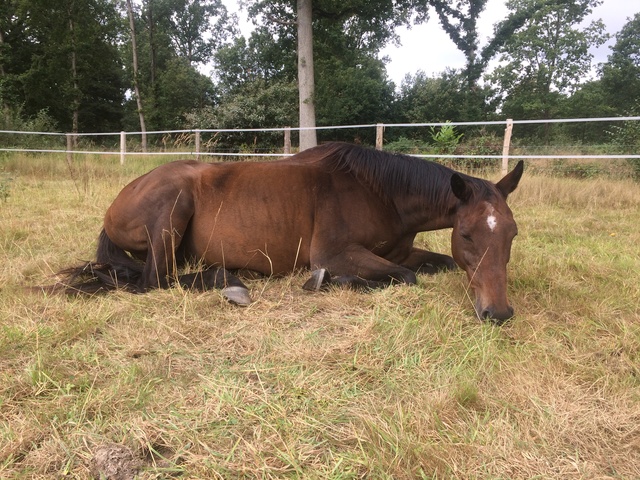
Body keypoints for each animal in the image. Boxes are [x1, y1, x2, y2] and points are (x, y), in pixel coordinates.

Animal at [56, 142, 524, 322]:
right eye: (467, 234)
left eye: (512, 235)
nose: (497, 312)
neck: (378, 192)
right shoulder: (334, 255)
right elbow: (404, 278)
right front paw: (328, 283)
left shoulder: (401, 252)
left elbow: (431, 265)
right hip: (173, 209)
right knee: (155, 281)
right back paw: (230, 283)